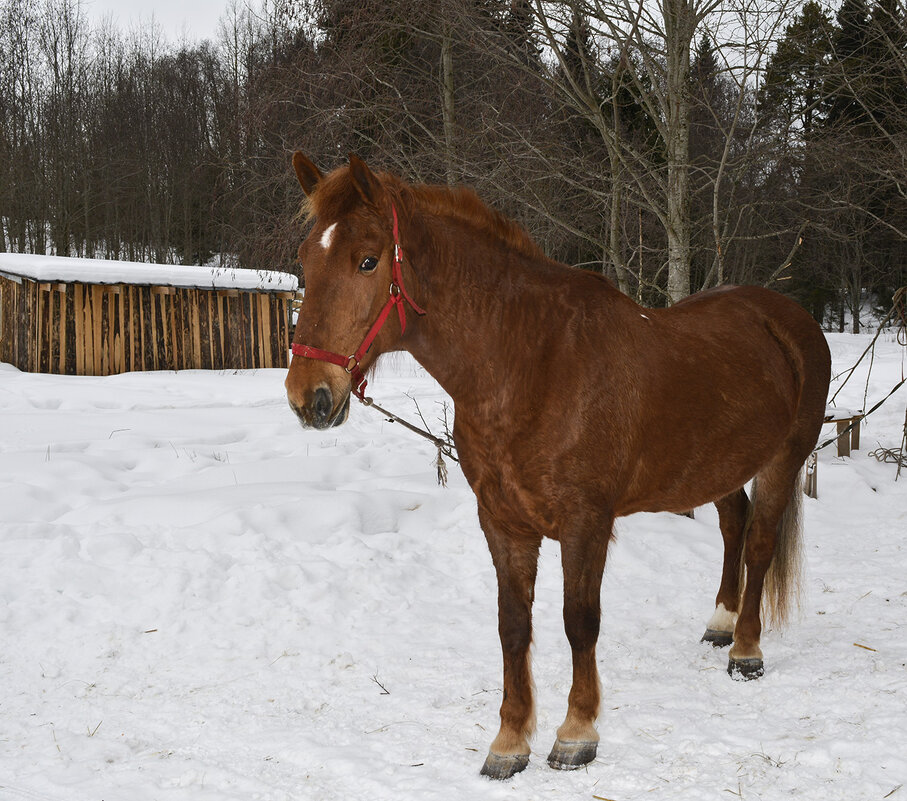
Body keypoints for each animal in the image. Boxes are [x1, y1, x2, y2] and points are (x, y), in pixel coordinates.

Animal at [284, 153, 828, 780]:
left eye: (368, 260)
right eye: (306, 259)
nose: (308, 396)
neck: (530, 362)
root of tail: (789, 317)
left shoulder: (585, 521)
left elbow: (579, 620)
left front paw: (576, 733)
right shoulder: (502, 520)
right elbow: (513, 625)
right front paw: (509, 741)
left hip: (782, 459)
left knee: (759, 543)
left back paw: (745, 651)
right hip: (718, 465)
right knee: (733, 524)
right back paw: (720, 624)